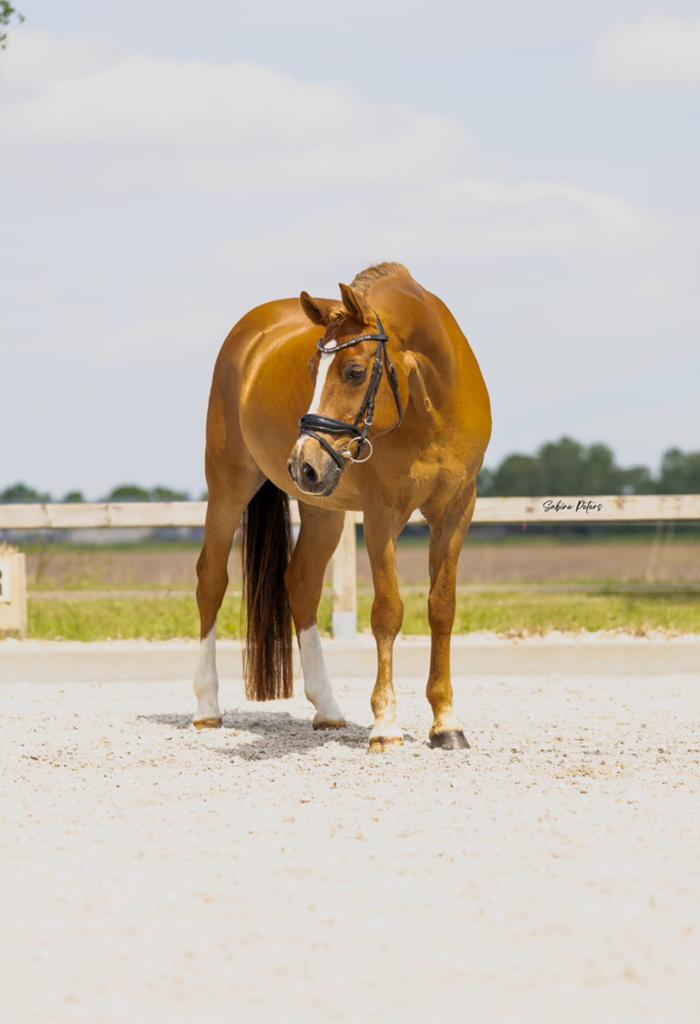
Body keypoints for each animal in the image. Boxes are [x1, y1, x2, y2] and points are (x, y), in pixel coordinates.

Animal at [192, 262, 491, 751]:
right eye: (312, 368)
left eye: (353, 371)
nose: (302, 463)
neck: (429, 407)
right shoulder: (381, 514)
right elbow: (388, 611)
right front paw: (386, 726)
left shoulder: (457, 510)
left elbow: (441, 608)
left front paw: (447, 723)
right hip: (228, 486)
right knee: (211, 580)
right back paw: (206, 708)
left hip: (324, 509)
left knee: (302, 583)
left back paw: (328, 710)